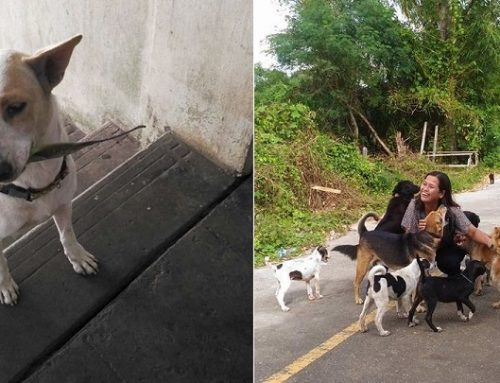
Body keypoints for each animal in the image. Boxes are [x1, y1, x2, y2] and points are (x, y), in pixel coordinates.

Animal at [0, 36, 98, 306]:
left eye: (16, 107)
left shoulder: (63, 203)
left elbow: (67, 235)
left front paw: (78, 258)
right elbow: (0, 264)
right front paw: (5, 286)